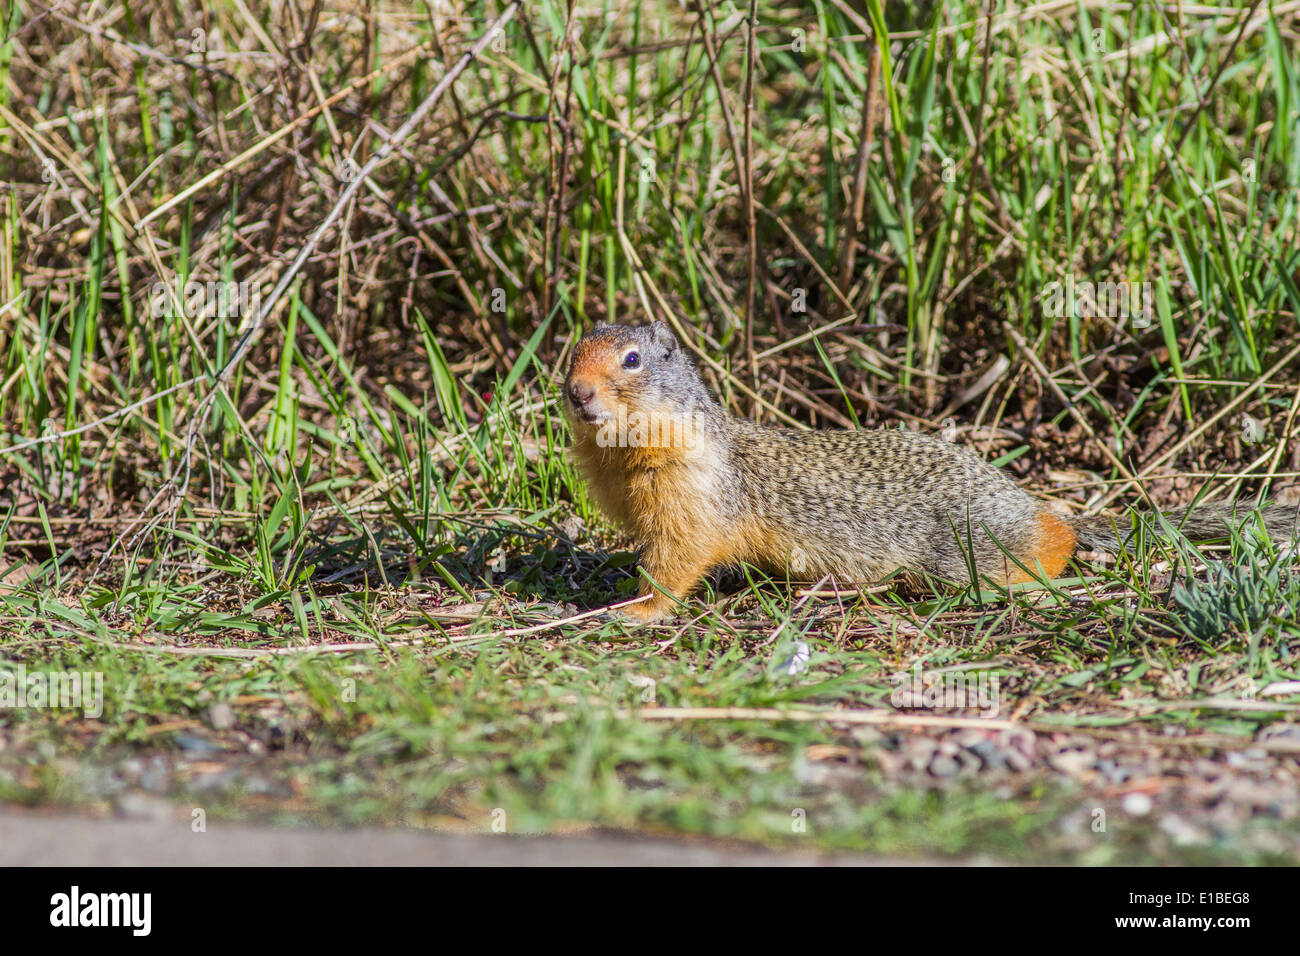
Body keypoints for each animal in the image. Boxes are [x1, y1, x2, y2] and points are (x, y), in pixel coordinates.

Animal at [562, 321, 1299, 622]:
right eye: (572, 351)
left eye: (631, 360)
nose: (575, 392)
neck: (623, 451)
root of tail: (1034, 504)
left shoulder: (691, 500)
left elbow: (676, 560)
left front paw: (636, 609)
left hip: (965, 551)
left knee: (1047, 547)